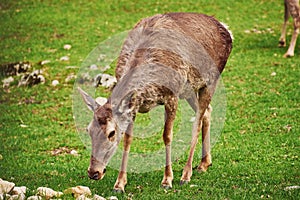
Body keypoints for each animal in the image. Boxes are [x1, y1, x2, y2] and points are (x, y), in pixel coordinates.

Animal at [78, 12, 233, 192]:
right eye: (89, 130)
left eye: (111, 132)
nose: (93, 172)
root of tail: (227, 29)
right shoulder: (133, 105)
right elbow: (128, 139)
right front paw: (120, 183)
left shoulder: (171, 96)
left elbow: (167, 136)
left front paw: (167, 180)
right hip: (189, 90)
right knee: (207, 111)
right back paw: (204, 163)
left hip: (211, 79)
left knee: (197, 122)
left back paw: (186, 174)